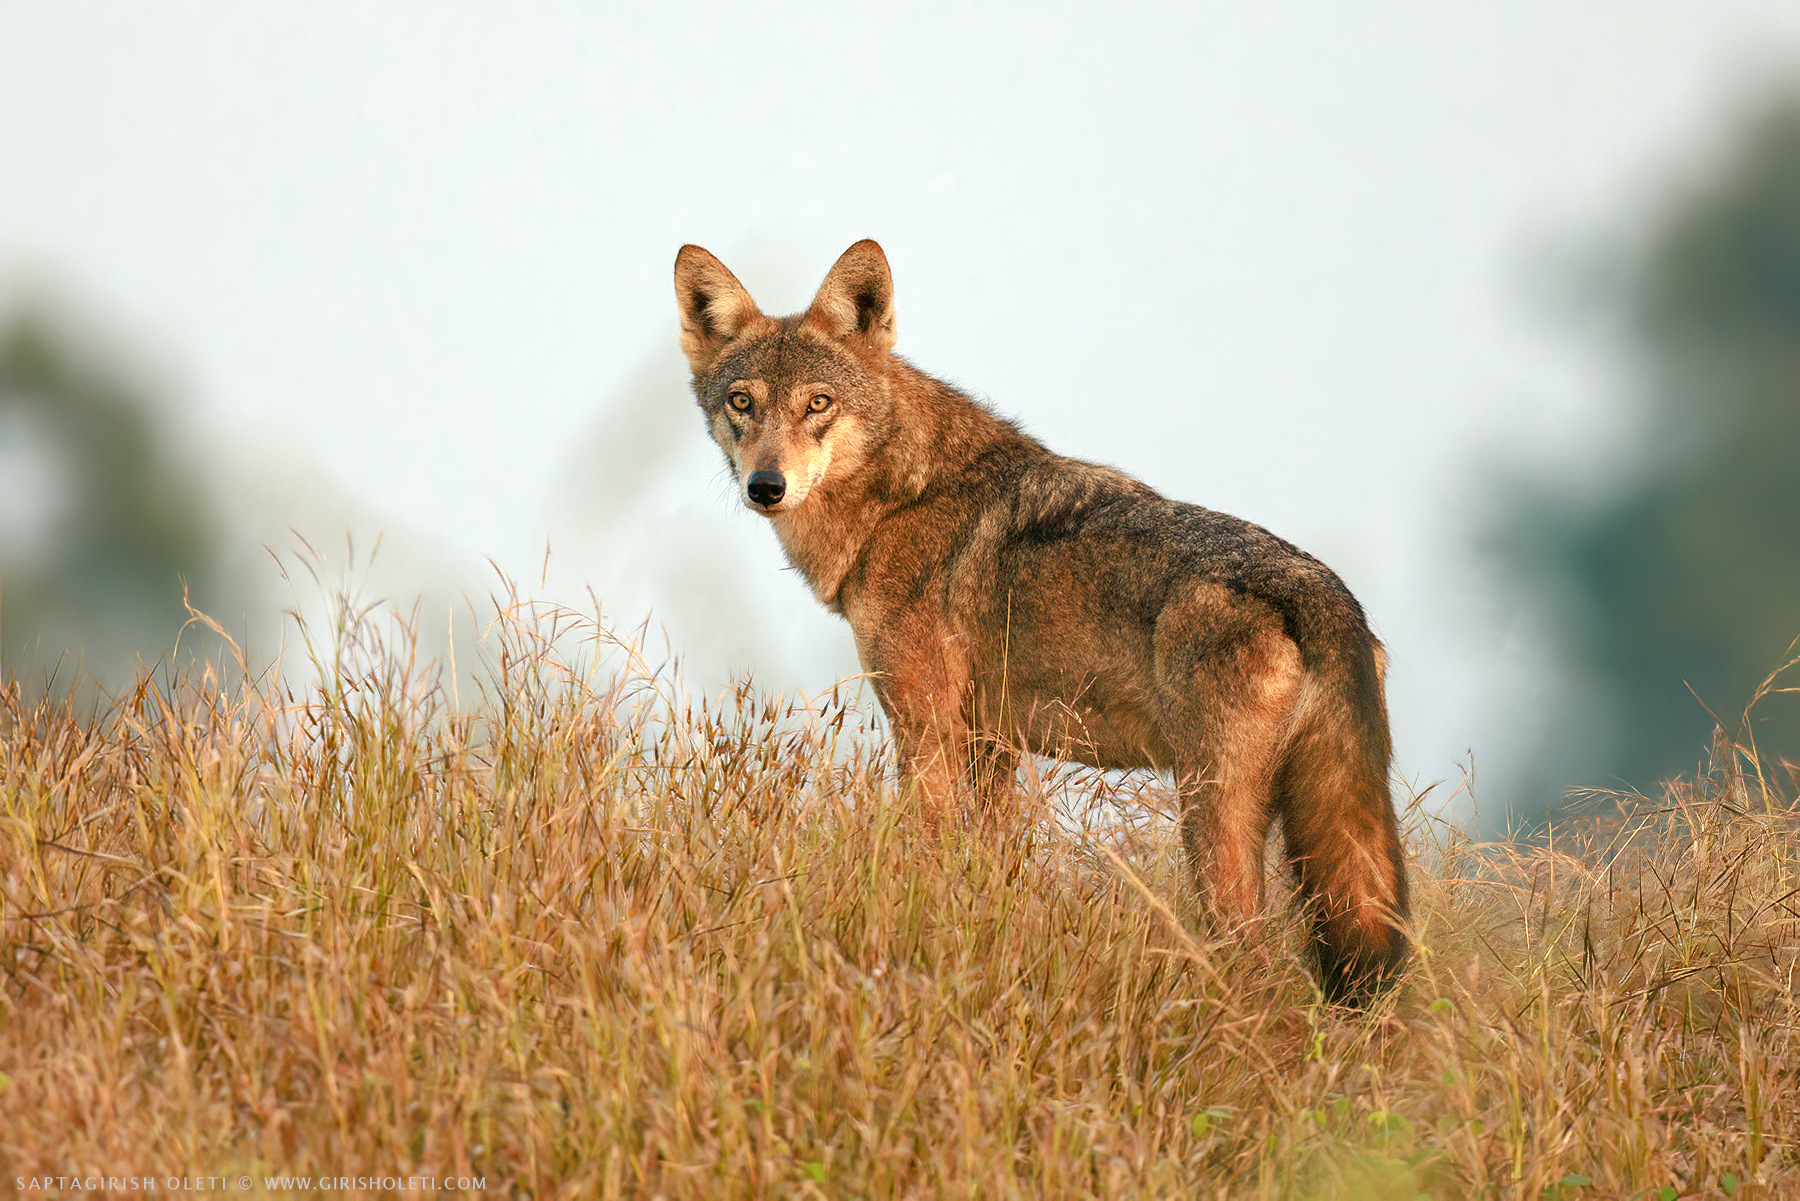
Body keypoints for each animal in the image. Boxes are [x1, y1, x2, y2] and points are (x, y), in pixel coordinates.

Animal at [672, 239, 1410, 1000]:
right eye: (742, 402)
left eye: (817, 403)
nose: (766, 486)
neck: (899, 500)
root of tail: (1321, 593)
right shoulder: (992, 741)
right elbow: (988, 871)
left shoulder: (926, 729)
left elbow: (926, 858)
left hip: (1212, 818)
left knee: (1255, 963)